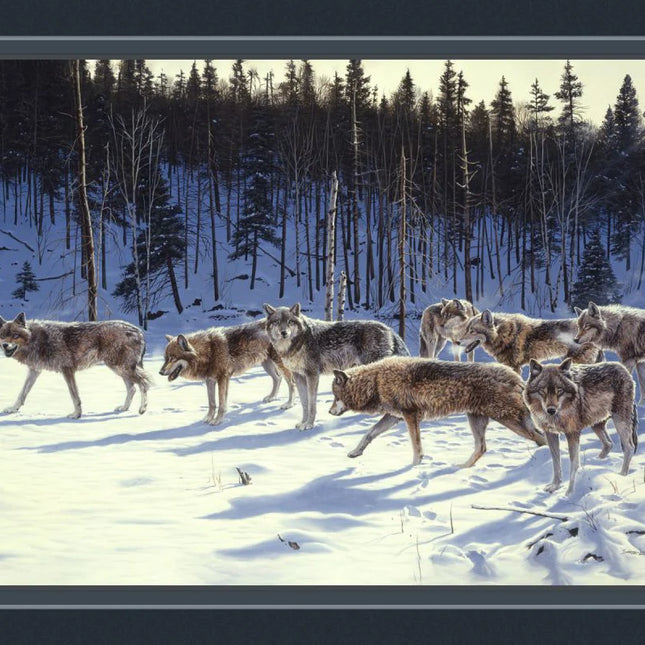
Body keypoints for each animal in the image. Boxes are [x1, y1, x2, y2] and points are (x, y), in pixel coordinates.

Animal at [0, 312, 150, 418]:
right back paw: (124, 408)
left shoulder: (67, 370)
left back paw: (142, 409)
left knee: (143, 383)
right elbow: (22, 393)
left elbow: (74, 396)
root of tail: (139, 331)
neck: (37, 340)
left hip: (120, 367)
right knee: (132, 388)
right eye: (2, 336)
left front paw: (76, 415)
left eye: (15, 336)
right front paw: (13, 409)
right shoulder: (34, 370)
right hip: (118, 369)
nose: (5, 345)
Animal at [159, 319, 295, 425]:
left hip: (278, 364)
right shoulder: (210, 380)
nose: (160, 372)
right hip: (266, 364)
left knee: (291, 382)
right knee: (278, 378)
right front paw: (208, 418)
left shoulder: (223, 379)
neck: (208, 352)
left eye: (173, 358)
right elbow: (212, 403)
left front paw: (217, 421)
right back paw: (271, 397)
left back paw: (289, 404)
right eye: (165, 358)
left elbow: (221, 403)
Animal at [264, 303, 409, 430]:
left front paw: (309, 425)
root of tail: (389, 329)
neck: (298, 343)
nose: (284, 333)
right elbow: (304, 403)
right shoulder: (299, 376)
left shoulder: (312, 375)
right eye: (277, 322)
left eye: (290, 322)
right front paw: (303, 423)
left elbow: (311, 404)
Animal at [329, 356, 546, 467]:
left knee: (540, 438)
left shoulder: (410, 416)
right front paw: (355, 452)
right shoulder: (394, 417)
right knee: (482, 448)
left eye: (334, 396)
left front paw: (414, 467)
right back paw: (461, 468)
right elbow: (369, 434)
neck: (375, 381)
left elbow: (416, 446)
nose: (330, 412)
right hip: (477, 420)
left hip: (507, 420)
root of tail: (517, 378)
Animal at [524, 358, 638, 495]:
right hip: (596, 426)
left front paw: (569, 492)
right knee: (609, 444)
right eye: (542, 391)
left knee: (629, 448)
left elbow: (574, 464)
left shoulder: (572, 433)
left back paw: (622, 475)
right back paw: (596, 462)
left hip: (620, 422)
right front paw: (555, 486)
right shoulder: (550, 433)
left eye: (559, 391)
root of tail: (624, 369)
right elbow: (556, 463)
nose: (551, 410)